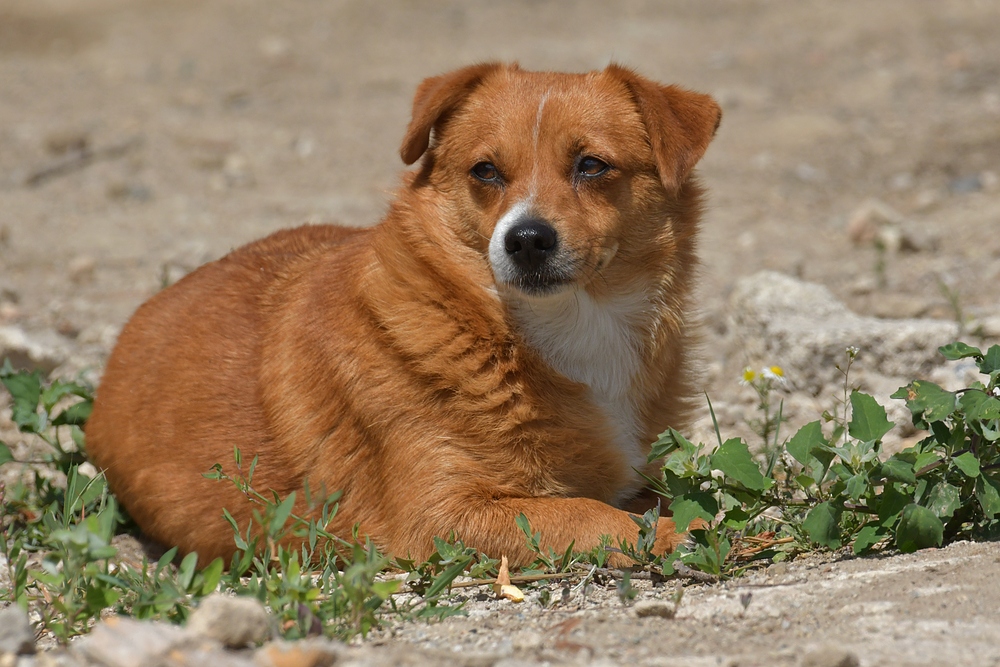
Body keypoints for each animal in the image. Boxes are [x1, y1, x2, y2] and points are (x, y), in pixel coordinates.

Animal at [86, 62, 724, 568]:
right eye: (485, 171)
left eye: (592, 165)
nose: (525, 240)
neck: (568, 327)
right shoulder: (440, 517)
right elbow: (591, 515)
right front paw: (680, 530)